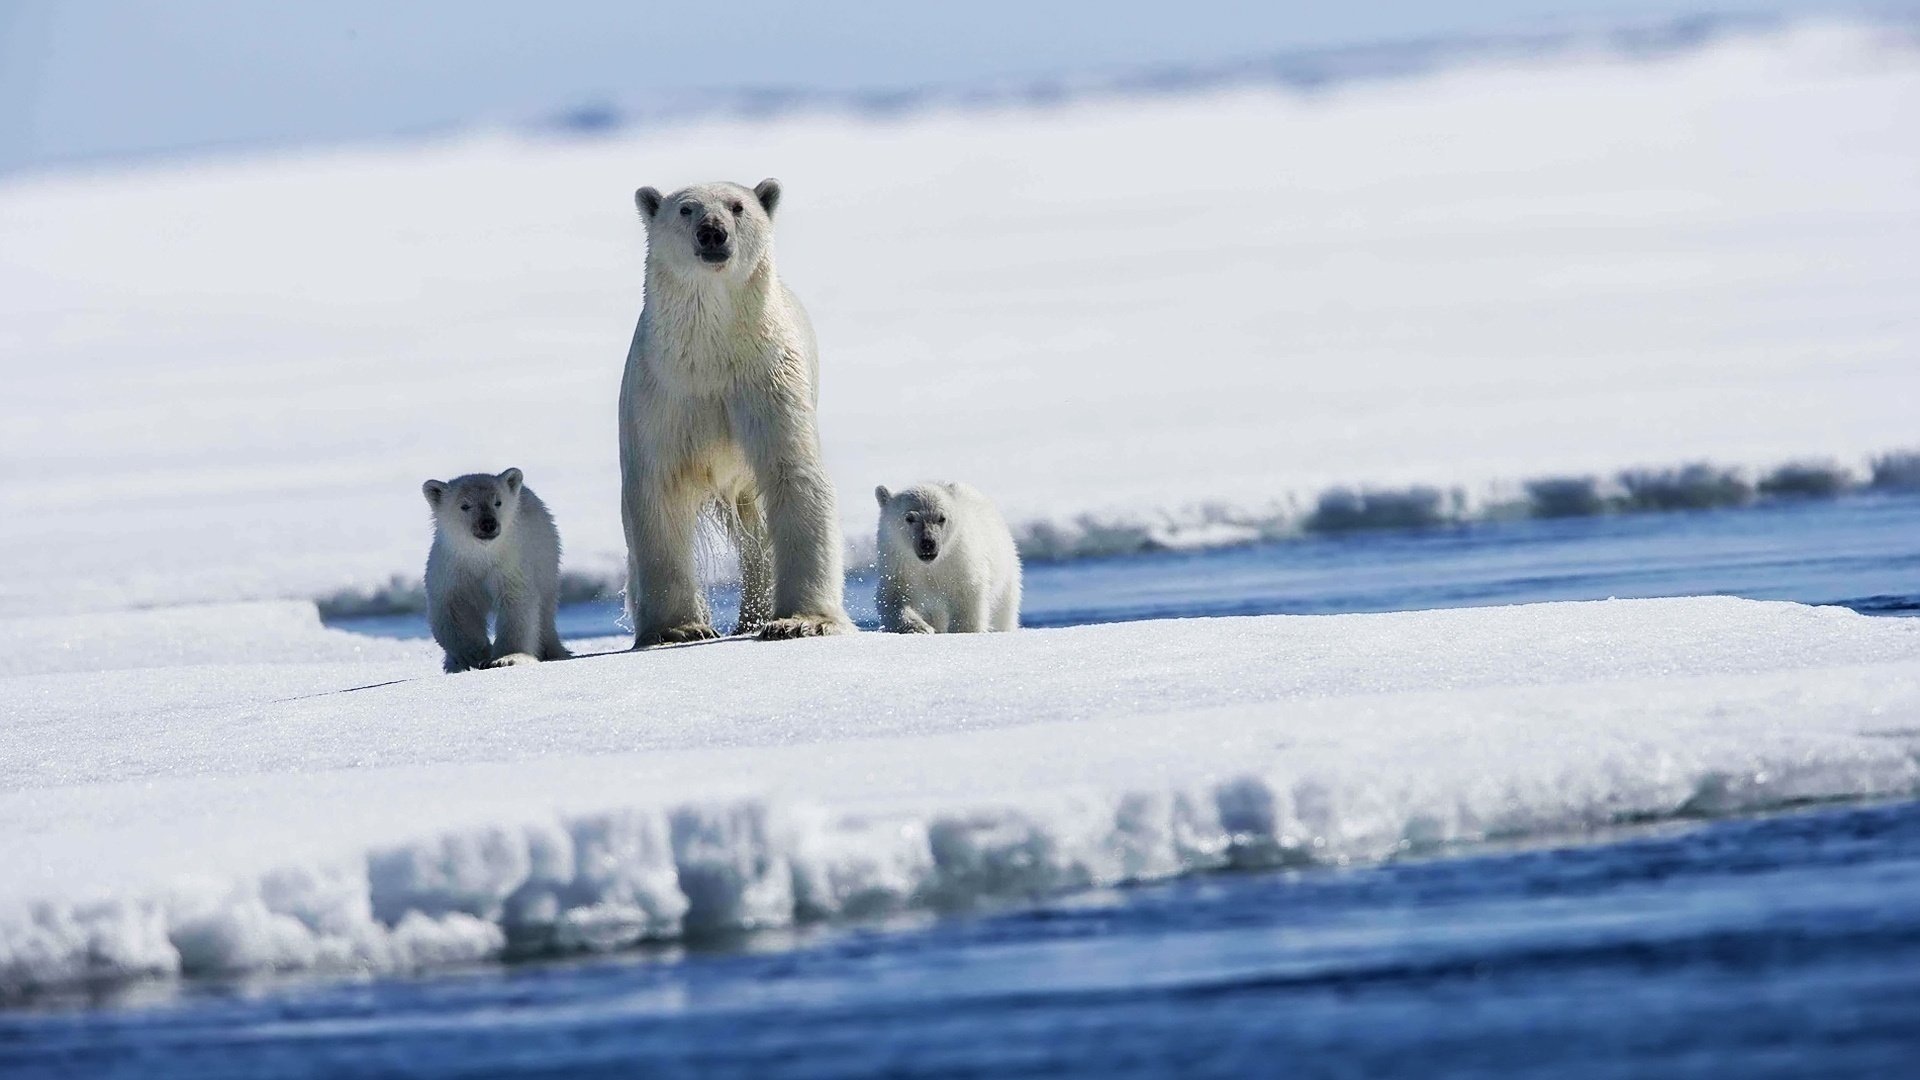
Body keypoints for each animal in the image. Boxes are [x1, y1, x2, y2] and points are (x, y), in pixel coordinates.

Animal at [422, 465, 564, 668]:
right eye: (464, 506)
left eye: (498, 502)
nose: (488, 523)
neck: (481, 556)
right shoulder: (451, 569)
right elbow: (453, 608)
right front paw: (474, 654)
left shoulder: (509, 565)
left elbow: (516, 604)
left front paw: (507, 658)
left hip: (546, 560)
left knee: (545, 610)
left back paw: (552, 651)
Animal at [618, 178, 852, 638]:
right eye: (686, 209)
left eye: (738, 206)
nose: (712, 232)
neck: (712, 356)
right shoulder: (662, 394)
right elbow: (658, 489)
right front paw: (679, 628)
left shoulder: (767, 380)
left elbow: (794, 474)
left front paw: (801, 621)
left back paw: (753, 616)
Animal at [871, 480, 1021, 630]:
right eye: (909, 518)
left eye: (941, 518)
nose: (928, 543)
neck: (930, 565)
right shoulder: (899, 564)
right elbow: (893, 598)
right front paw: (921, 628)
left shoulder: (960, 562)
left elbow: (967, 599)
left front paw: (962, 630)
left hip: (1005, 575)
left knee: (1004, 613)